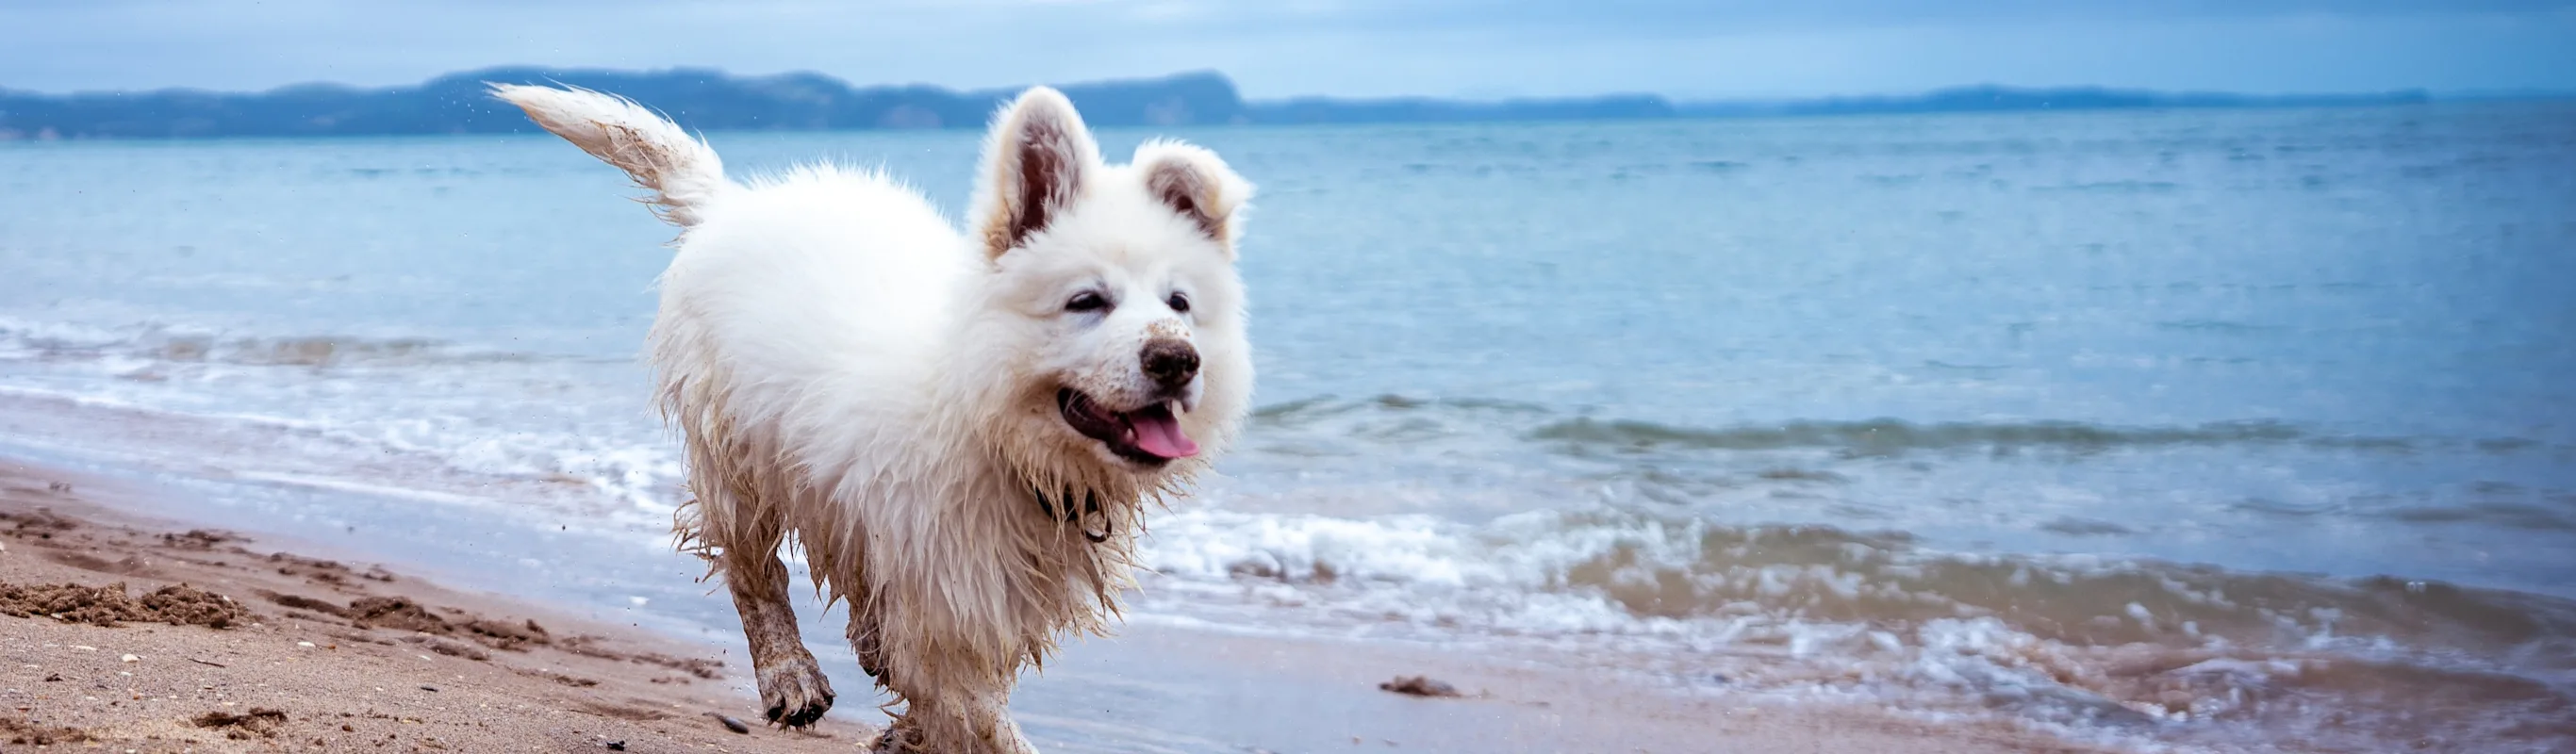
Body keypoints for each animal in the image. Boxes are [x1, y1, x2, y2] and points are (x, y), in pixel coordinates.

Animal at [491, 85, 1257, 746]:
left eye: (1180, 303)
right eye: (1086, 301)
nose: (1176, 360)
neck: (991, 426)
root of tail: (729, 205)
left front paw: (905, 732)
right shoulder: (942, 592)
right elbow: (979, 719)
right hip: (734, 453)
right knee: (752, 571)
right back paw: (790, 675)